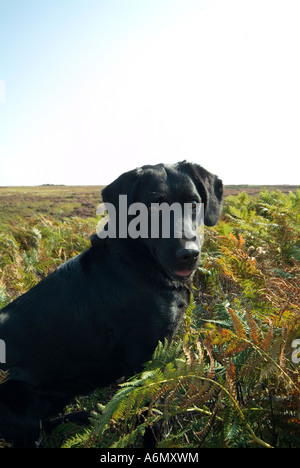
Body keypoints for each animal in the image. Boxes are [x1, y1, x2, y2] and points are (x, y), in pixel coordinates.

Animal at [0, 160, 221, 446]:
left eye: (194, 202)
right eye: (152, 207)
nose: (189, 254)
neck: (139, 262)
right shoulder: (144, 359)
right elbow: (149, 414)